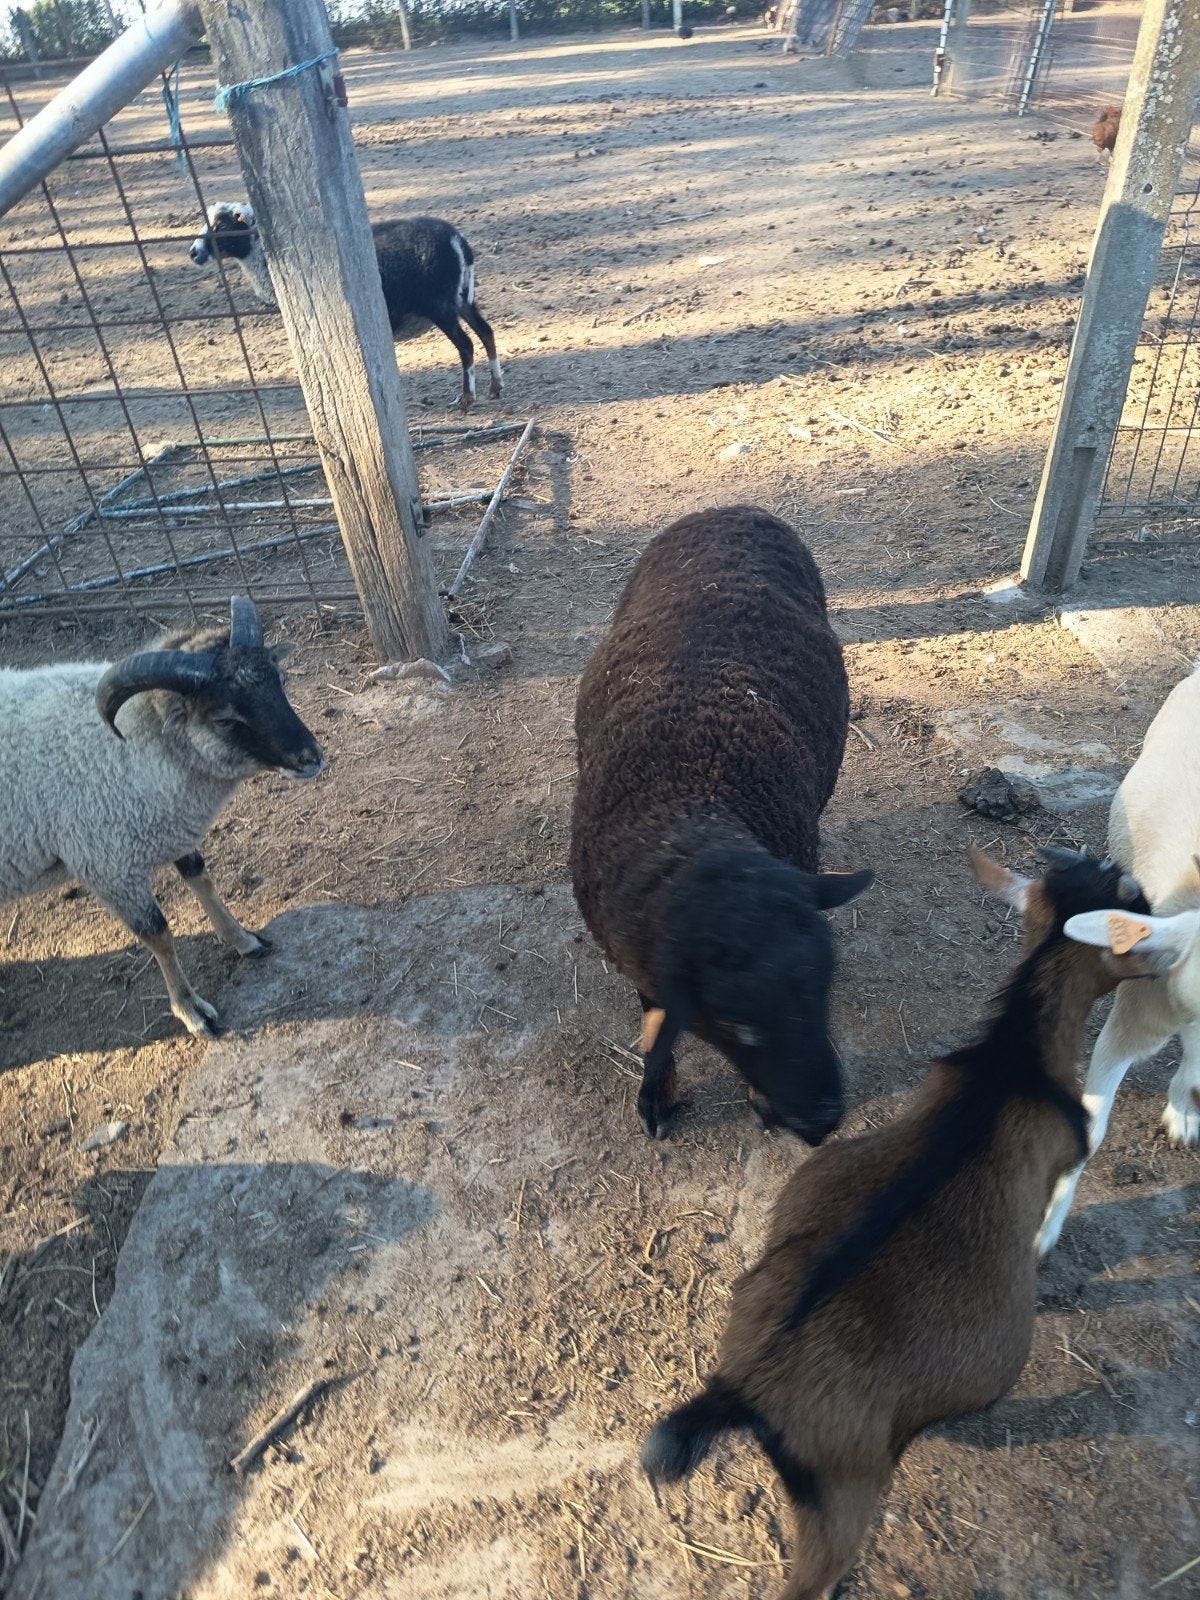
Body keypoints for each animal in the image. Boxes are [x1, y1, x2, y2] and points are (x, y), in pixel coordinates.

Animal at [1, 596, 323, 1041]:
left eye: (281, 681)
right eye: (224, 719)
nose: (311, 758)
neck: (135, 742)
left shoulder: (172, 829)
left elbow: (201, 878)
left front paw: (243, 940)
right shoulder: (106, 865)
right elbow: (159, 935)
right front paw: (193, 1011)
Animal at [188, 203, 503, 412]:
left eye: (222, 225)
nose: (194, 253)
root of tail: (458, 241)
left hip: (440, 305)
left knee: (466, 345)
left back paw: (467, 398)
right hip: (463, 298)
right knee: (486, 332)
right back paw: (495, 388)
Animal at [568, 504, 872, 1143]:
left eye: (825, 985)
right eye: (734, 1023)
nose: (824, 1121)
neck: (692, 807)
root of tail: (735, 508)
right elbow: (657, 1026)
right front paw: (657, 1096)